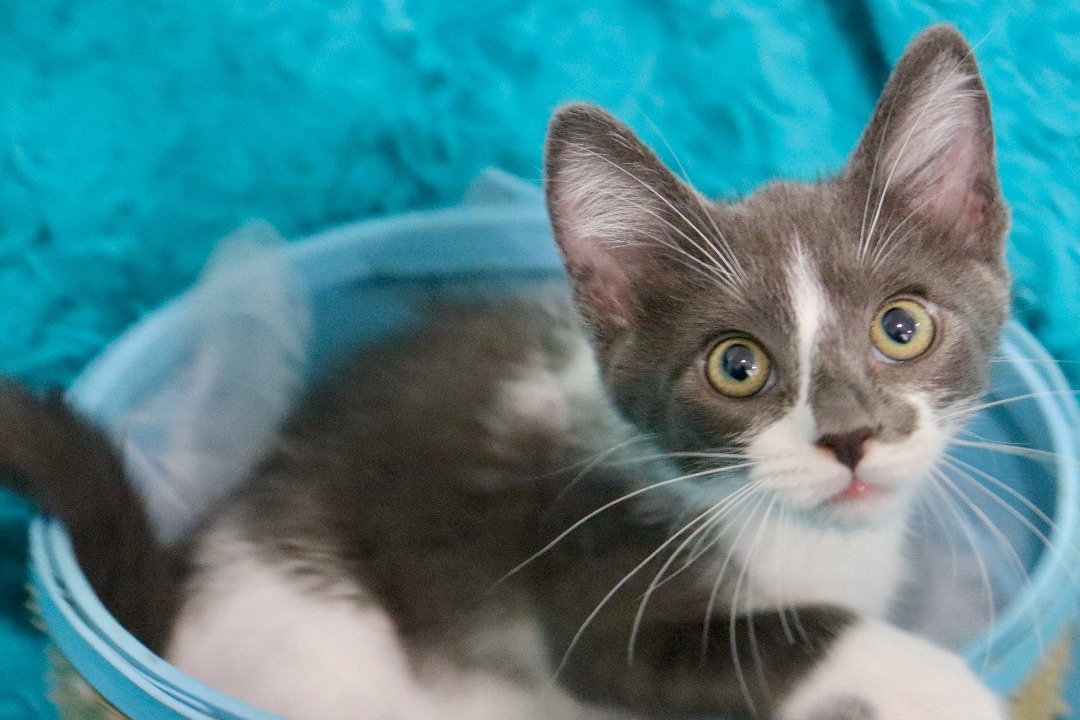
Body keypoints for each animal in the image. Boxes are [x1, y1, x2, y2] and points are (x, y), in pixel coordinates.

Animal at [0, 22, 1010, 720]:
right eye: (736, 365)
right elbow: (781, 640)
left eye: (901, 327)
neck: (797, 533)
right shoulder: (596, 576)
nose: (850, 436)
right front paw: (944, 687)